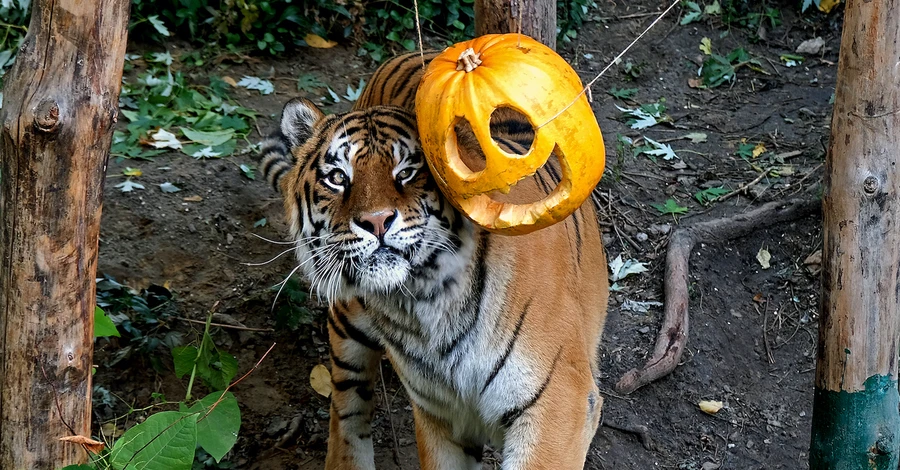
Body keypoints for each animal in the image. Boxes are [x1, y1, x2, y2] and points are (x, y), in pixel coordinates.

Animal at [258, 49, 612, 468]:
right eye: (337, 177)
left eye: (408, 172)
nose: (376, 221)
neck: (424, 301)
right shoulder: (439, 414)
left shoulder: (558, 404)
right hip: (347, 317)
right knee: (346, 402)